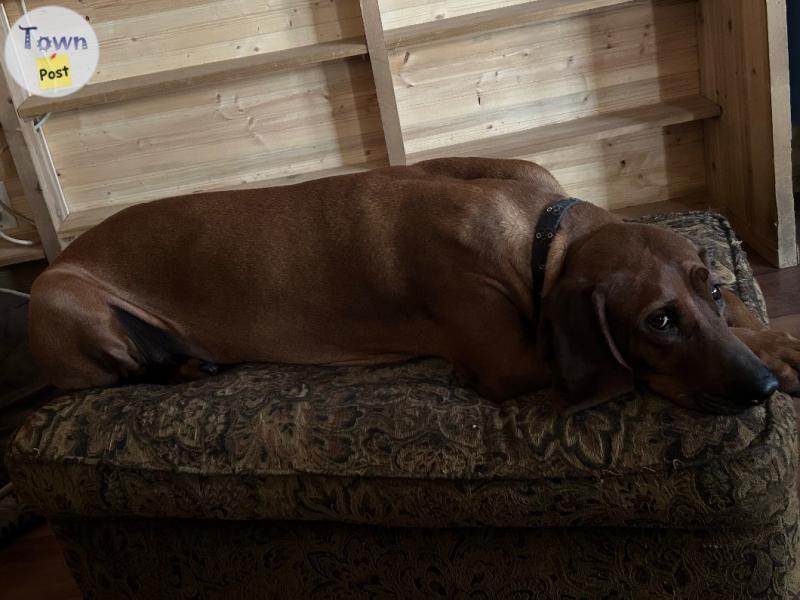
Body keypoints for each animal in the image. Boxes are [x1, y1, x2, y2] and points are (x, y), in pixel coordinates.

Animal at [28, 157, 796, 414]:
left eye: (710, 295)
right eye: (658, 323)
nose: (759, 390)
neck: (540, 232)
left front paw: (776, 339)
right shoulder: (511, 362)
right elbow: (620, 372)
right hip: (59, 299)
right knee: (121, 373)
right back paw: (183, 364)